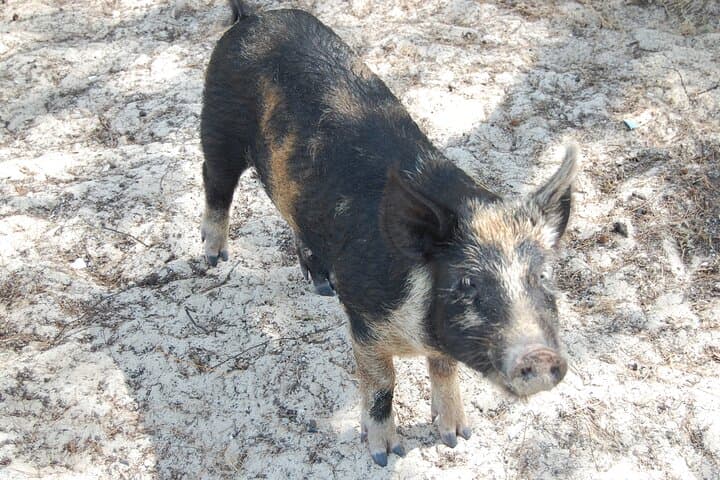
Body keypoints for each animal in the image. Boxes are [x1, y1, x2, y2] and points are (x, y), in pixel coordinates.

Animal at [201, 1, 576, 467]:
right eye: (466, 282)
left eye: (542, 277)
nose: (539, 355)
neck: (416, 328)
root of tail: (252, 17)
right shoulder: (364, 323)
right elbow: (383, 384)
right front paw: (385, 454)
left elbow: (444, 368)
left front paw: (458, 436)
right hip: (217, 124)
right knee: (215, 184)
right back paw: (214, 258)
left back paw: (321, 284)